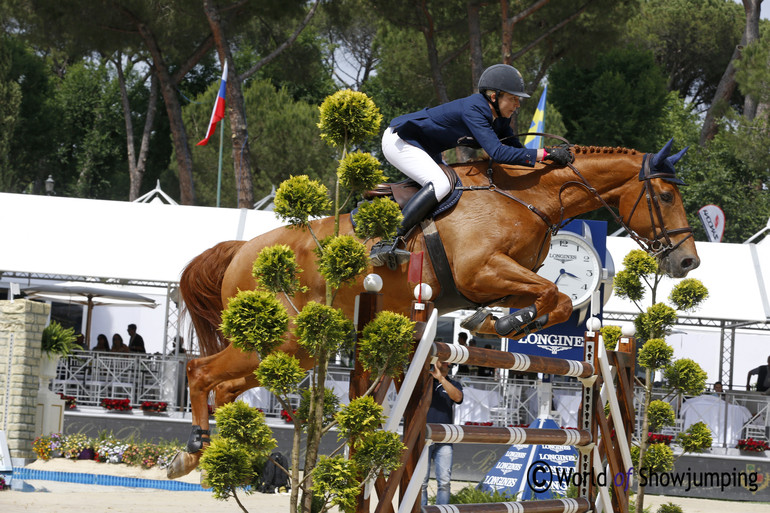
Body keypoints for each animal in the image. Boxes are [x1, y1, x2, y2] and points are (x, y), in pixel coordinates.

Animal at [166, 139, 696, 476]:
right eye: (665, 194)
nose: (687, 260)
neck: (528, 197)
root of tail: (242, 249)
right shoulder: (481, 271)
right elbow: (556, 294)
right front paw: (512, 320)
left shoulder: (498, 278)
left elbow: (549, 296)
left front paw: (499, 321)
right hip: (285, 337)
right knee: (199, 373)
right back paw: (193, 449)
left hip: (289, 349)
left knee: (225, 386)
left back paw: (221, 454)